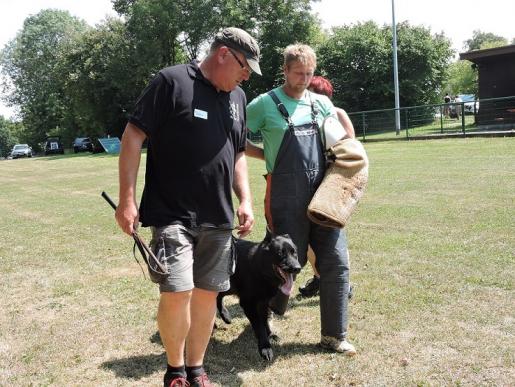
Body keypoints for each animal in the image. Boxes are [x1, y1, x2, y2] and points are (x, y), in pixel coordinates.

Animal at [217, 232, 302, 362]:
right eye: (280, 253)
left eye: (294, 252)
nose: (298, 268)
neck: (261, 271)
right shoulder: (248, 304)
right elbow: (259, 325)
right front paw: (265, 347)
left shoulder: (263, 302)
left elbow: (265, 320)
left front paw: (270, 334)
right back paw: (224, 315)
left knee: (219, 296)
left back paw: (225, 316)